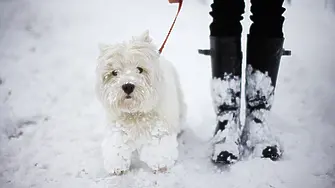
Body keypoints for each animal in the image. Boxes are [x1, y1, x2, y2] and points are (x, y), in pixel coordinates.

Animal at [96, 30, 188, 176]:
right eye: (114, 72)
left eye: (139, 69)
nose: (128, 86)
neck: (135, 113)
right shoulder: (117, 125)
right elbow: (116, 144)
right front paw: (116, 166)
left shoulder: (159, 126)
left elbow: (159, 146)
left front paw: (160, 164)